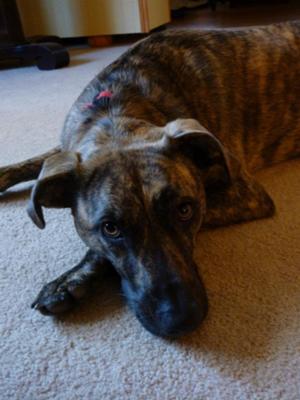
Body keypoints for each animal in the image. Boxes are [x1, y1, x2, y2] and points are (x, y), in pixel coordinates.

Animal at [0, 21, 298, 338]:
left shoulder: (244, 192)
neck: (114, 111)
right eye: (111, 228)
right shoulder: (68, 148)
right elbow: (36, 161)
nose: (180, 320)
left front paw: (71, 281)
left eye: (185, 210)